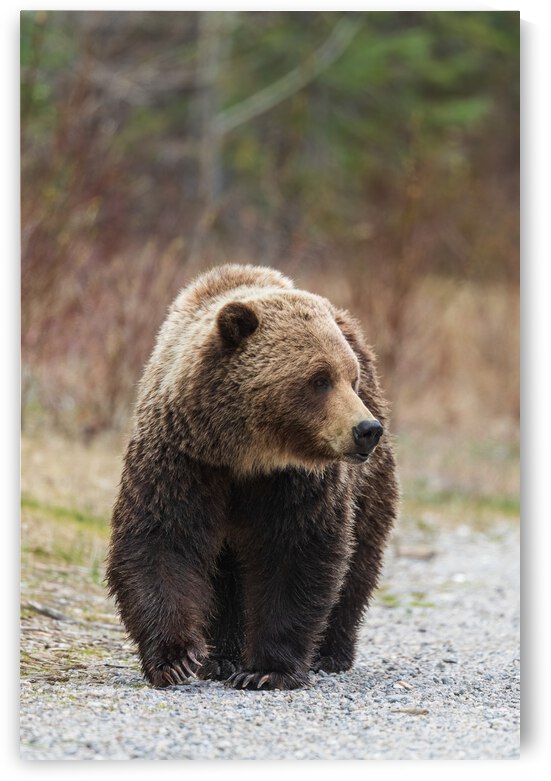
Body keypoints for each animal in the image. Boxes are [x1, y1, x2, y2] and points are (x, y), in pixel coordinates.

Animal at [106, 264, 398, 690]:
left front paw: (265, 669)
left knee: (359, 557)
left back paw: (330, 652)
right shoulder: (181, 460)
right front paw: (176, 659)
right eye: (320, 378)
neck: (244, 454)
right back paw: (222, 658)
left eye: (352, 377)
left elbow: (296, 552)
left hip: (369, 484)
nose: (366, 429)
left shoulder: (297, 481)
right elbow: (161, 540)